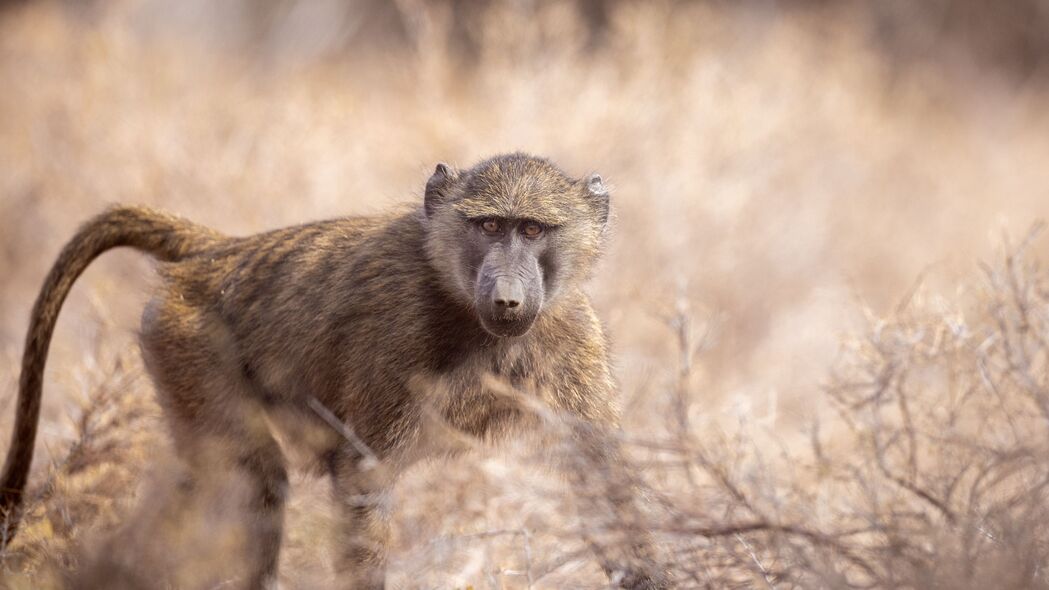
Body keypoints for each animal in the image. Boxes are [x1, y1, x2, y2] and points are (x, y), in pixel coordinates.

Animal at [2, 154, 662, 583]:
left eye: (532, 229)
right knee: (255, 479)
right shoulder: (397, 332)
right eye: (490, 226)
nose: (506, 299)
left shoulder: (573, 342)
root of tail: (221, 251)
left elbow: (604, 482)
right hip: (186, 341)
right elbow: (364, 479)